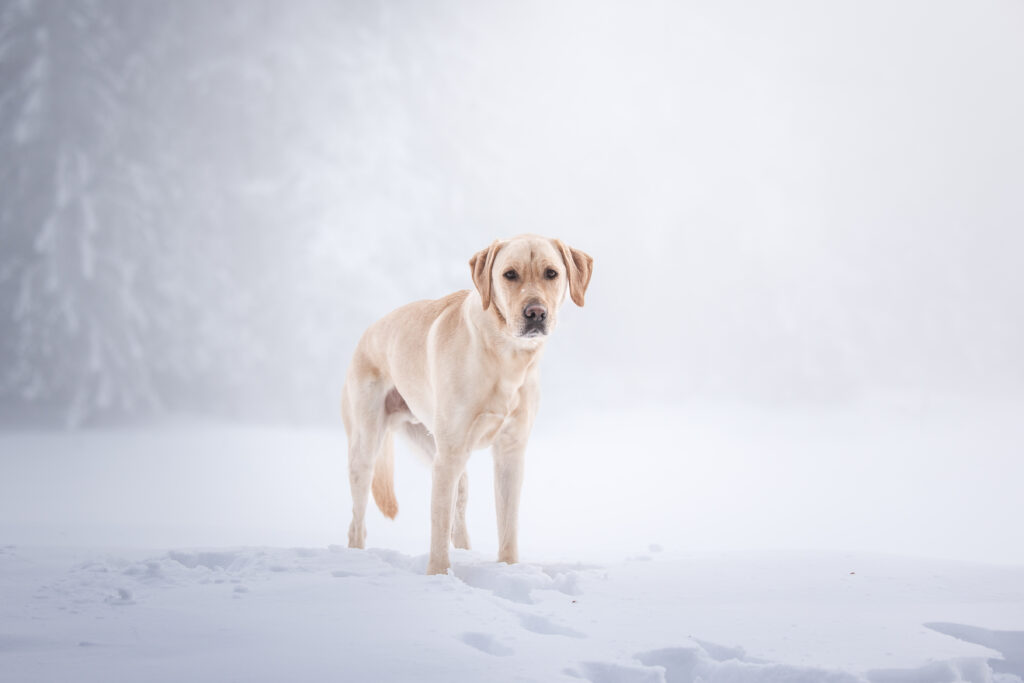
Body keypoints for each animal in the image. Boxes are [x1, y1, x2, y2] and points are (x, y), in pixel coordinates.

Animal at [344, 236, 593, 577]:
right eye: (510, 274)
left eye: (552, 273)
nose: (536, 313)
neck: (506, 356)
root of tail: (366, 332)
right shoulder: (450, 453)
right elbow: (437, 526)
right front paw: (438, 575)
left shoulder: (510, 451)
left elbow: (507, 523)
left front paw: (508, 568)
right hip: (371, 445)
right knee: (358, 518)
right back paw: (355, 557)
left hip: (433, 446)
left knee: (459, 500)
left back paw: (464, 551)